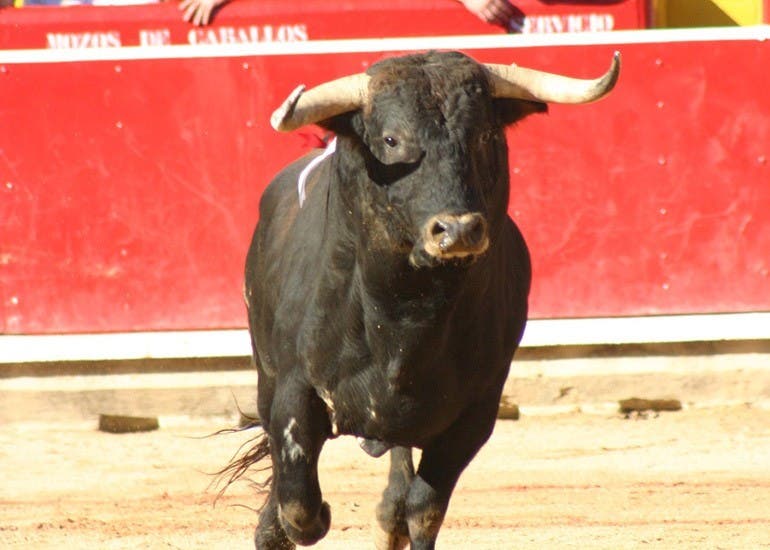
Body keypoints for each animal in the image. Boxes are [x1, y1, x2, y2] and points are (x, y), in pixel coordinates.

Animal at [222, 49, 616, 548]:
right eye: (391, 140)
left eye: (484, 135)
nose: (458, 229)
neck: (404, 313)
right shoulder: (292, 391)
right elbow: (299, 501)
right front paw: (283, 522)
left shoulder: (475, 413)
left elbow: (424, 509)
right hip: (266, 372)